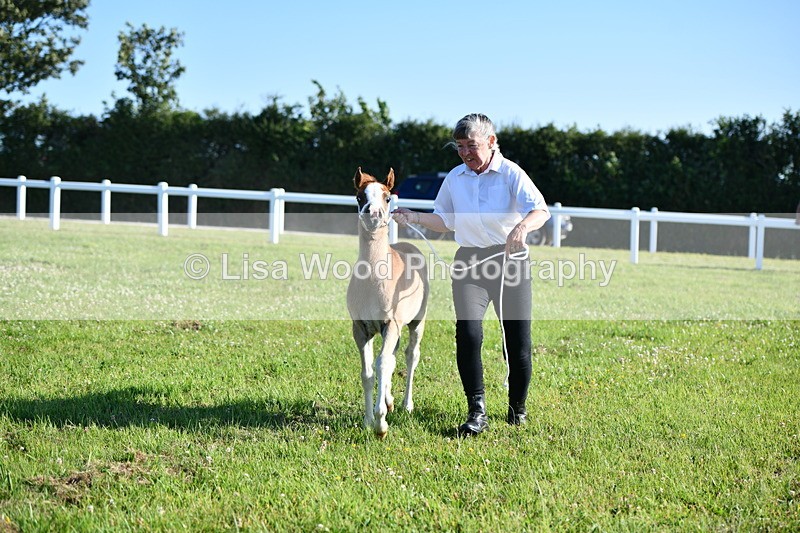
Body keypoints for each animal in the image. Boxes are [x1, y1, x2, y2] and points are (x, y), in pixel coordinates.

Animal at [347, 167, 429, 439]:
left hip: (416, 322)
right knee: (392, 359)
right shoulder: (361, 329)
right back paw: (390, 401)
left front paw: (380, 425)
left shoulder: (390, 325)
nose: (373, 214)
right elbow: (368, 373)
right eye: (360, 196)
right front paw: (368, 420)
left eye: (387, 197)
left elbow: (382, 365)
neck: (374, 278)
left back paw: (406, 404)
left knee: (410, 356)